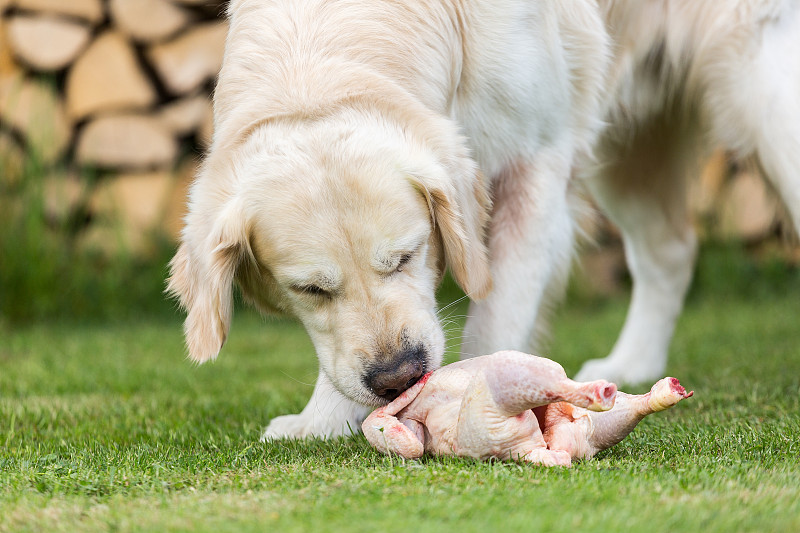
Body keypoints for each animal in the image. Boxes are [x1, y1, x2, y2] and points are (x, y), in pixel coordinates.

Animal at [167, 0, 608, 438]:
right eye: (310, 289)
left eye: (406, 256)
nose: (399, 377)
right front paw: (321, 421)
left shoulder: (534, 161)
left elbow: (498, 315)